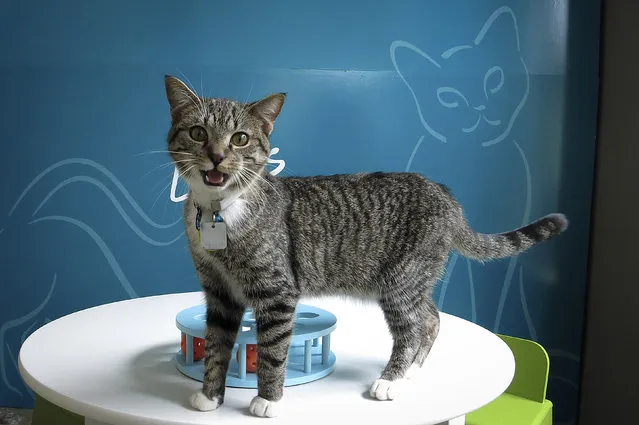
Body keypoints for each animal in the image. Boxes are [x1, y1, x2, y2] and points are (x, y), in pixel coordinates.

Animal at [162, 74, 568, 416]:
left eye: (240, 139)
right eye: (198, 132)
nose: (216, 156)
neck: (218, 214)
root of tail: (447, 199)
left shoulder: (277, 292)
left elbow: (272, 352)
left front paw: (268, 400)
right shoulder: (219, 292)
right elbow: (216, 346)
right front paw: (210, 396)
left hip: (401, 280)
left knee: (414, 327)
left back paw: (391, 379)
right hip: (413, 280)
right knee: (432, 317)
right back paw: (413, 370)